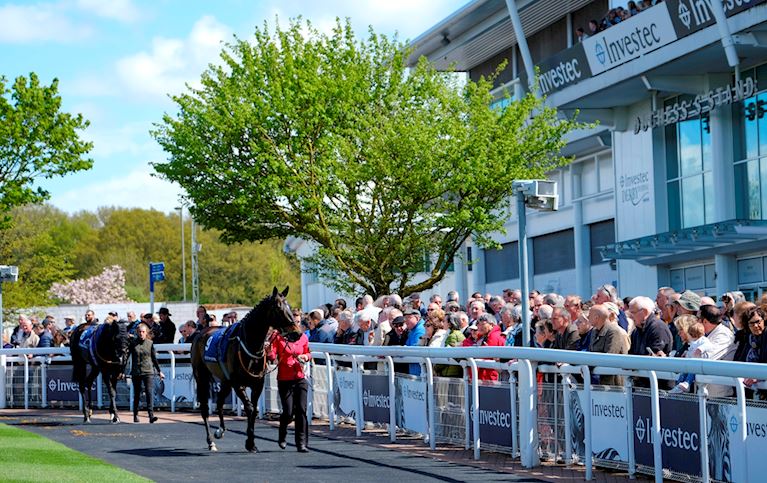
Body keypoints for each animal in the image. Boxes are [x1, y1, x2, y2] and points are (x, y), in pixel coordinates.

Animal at [194, 286, 296, 452]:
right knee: (204, 408)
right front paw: (250, 442)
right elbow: (249, 407)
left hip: (225, 381)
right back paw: (210, 441)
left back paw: (220, 430)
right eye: (279, 309)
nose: (297, 333)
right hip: (202, 377)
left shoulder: (257, 384)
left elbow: (253, 410)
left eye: (290, 307)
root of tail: (201, 333)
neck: (250, 345)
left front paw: (251, 442)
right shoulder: (238, 383)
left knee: (220, 402)